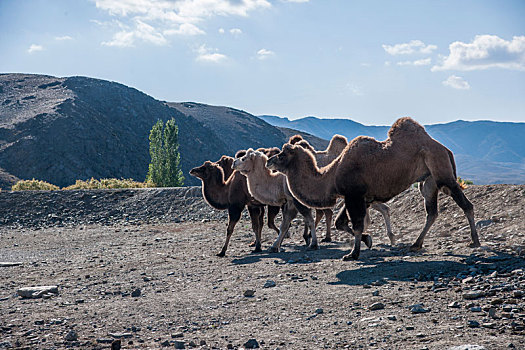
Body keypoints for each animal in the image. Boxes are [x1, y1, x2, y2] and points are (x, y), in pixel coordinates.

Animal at [268, 117, 482, 260]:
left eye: (282, 154)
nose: (269, 161)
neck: (331, 175)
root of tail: (445, 148)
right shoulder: (359, 197)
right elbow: (341, 223)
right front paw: (367, 240)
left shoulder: (354, 195)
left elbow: (357, 224)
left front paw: (352, 254)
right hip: (428, 181)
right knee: (432, 212)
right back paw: (415, 244)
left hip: (443, 172)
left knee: (466, 205)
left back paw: (475, 241)